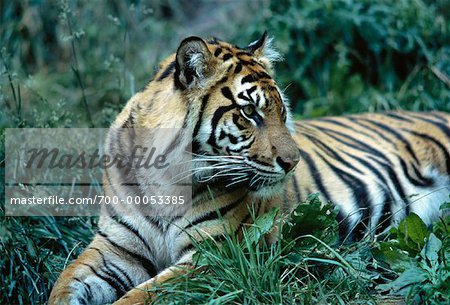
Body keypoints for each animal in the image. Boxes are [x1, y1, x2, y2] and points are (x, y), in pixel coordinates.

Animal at [49, 33, 450, 304]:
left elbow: (139, 297)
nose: (292, 162)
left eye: (281, 112)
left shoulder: (214, 252)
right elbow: (63, 284)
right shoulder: (115, 248)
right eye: (249, 112)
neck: (162, 179)